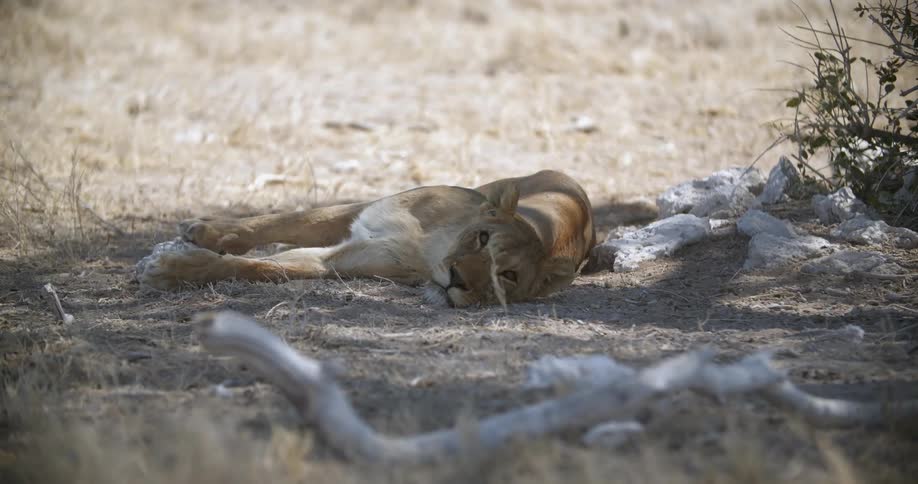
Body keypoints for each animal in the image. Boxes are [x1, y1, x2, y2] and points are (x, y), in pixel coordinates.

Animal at [137, 170, 596, 307]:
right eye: (482, 238)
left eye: (509, 277)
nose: (458, 281)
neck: (429, 246)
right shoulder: (363, 211)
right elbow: (284, 219)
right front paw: (203, 231)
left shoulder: (336, 261)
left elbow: (259, 267)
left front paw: (168, 269)